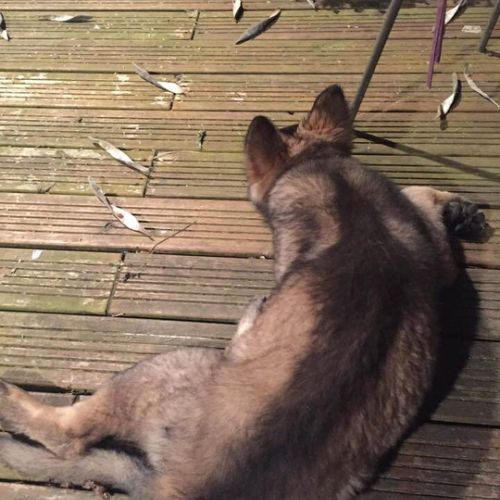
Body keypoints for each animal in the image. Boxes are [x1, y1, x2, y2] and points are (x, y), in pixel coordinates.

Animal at [0, 85, 486, 499]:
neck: (323, 168)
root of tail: (180, 485)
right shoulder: (437, 257)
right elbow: (424, 208)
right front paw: (455, 207)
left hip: (167, 367)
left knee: (68, 436)